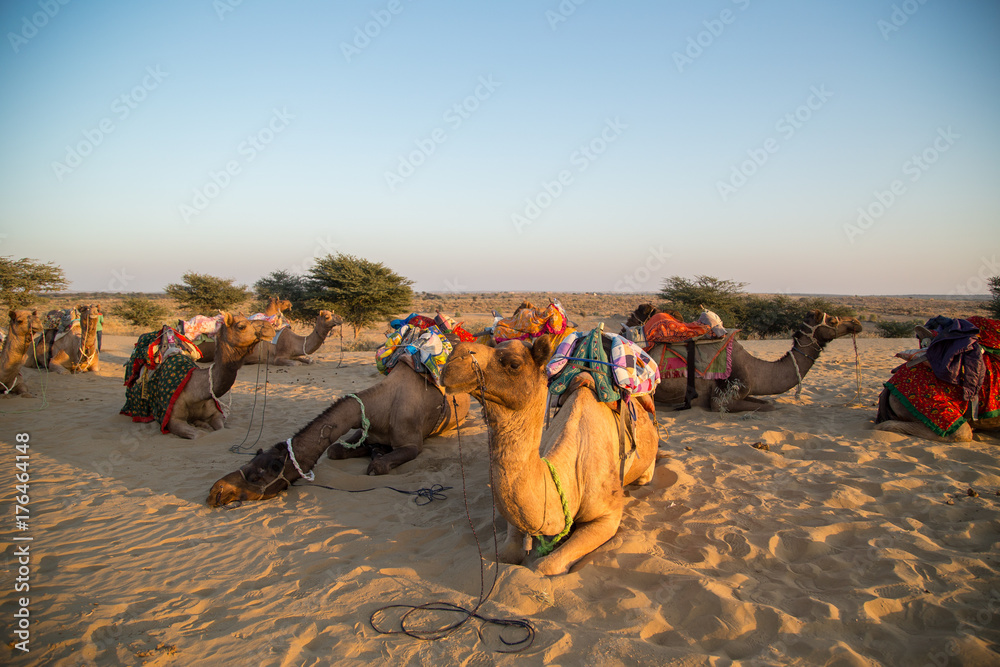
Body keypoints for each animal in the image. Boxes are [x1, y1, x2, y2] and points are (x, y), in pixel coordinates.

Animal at [121, 313, 276, 439]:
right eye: (241, 326)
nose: (270, 328)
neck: (195, 392)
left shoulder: (215, 413)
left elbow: (221, 430)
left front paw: (203, 424)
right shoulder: (172, 420)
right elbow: (200, 435)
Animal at [206, 363, 471, 506]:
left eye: (257, 476)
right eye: (248, 462)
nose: (216, 491)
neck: (380, 407)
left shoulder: (412, 444)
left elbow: (377, 466)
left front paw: (377, 459)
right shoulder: (365, 430)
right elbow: (334, 449)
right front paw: (372, 451)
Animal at [628, 306, 863, 412]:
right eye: (833, 320)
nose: (856, 323)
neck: (752, 367)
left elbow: (767, 402)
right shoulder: (721, 398)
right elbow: (768, 406)